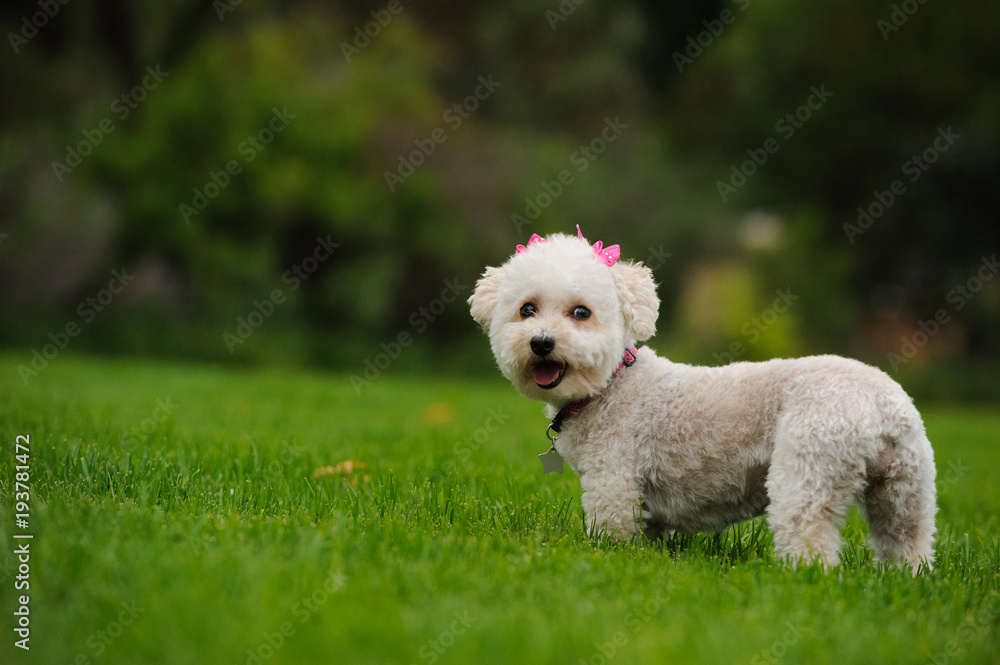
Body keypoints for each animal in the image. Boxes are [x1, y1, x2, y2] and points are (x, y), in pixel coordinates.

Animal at [468, 230, 936, 572]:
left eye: (581, 313)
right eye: (527, 309)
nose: (541, 343)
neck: (613, 385)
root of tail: (882, 406)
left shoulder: (612, 483)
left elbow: (614, 537)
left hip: (808, 471)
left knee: (809, 537)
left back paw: (802, 578)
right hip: (905, 486)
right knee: (907, 539)